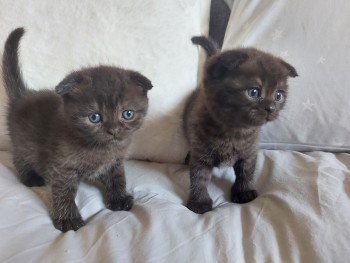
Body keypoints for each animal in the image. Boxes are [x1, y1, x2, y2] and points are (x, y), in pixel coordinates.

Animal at [2, 27, 153, 232]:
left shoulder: (115, 162)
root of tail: (22, 96)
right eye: (94, 117)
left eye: (127, 114)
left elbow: (118, 178)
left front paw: (119, 198)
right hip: (24, 142)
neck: (102, 149)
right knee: (19, 157)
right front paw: (68, 218)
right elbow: (63, 192)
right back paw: (30, 177)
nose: (113, 130)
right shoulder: (61, 167)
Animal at [183, 36, 298, 214]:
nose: (271, 108)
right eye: (254, 92)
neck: (234, 132)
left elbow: (246, 173)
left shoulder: (249, 153)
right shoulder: (201, 153)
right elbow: (199, 177)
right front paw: (199, 201)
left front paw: (244, 192)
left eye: (278, 95)